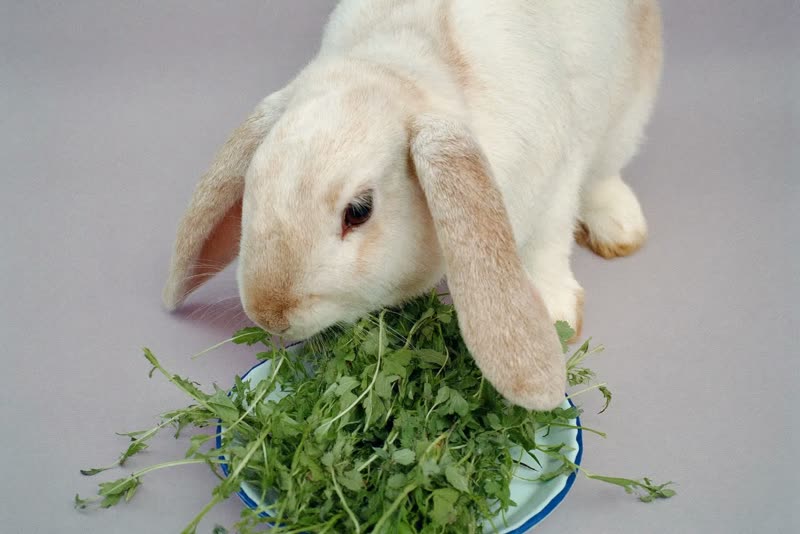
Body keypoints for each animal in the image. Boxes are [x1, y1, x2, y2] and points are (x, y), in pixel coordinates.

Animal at [163, 0, 663, 411]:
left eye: (359, 210)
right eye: (254, 183)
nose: (269, 313)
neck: (399, 68)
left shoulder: (557, 176)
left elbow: (547, 245)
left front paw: (558, 317)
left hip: (629, 106)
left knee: (605, 171)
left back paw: (620, 231)